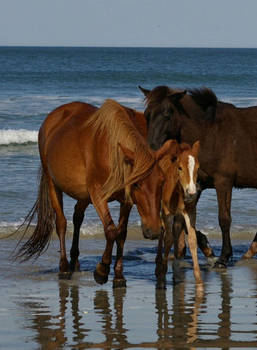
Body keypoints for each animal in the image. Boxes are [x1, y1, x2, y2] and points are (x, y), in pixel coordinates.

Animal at [16, 98, 179, 288]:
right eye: (137, 184)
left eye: (162, 182)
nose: (153, 231)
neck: (111, 153)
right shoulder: (98, 196)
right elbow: (111, 231)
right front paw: (102, 270)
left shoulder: (126, 201)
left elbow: (121, 233)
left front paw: (118, 276)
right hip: (52, 184)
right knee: (61, 223)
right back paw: (64, 267)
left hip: (83, 195)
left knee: (77, 217)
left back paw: (75, 262)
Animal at [139, 85, 256, 268]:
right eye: (147, 114)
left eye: (167, 113)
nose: (152, 149)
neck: (209, 133)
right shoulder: (196, 184)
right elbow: (182, 221)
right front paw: (201, 252)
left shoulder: (223, 182)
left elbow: (224, 219)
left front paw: (222, 258)